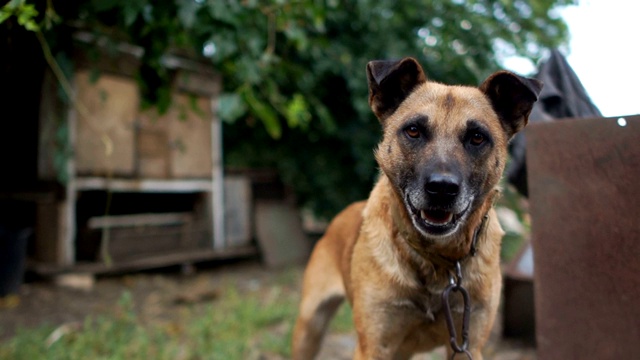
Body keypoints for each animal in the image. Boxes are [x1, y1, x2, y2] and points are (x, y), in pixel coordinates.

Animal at [292, 57, 544, 358]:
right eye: (414, 131)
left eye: (477, 137)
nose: (442, 188)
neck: (436, 260)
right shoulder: (374, 346)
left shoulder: (468, 343)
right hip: (309, 329)